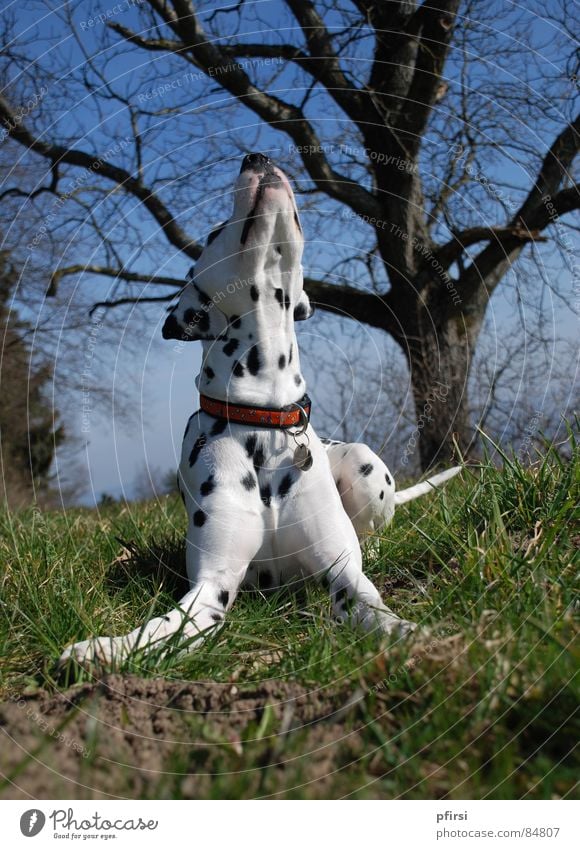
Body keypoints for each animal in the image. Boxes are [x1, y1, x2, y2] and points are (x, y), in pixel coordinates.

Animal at [61, 156, 460, 664]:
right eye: (214, 232)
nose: (257, 157)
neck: (265, 424)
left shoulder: (343, 572)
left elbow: (372, 603)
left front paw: (412, 635)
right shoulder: (211, 588)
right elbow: (164, 627)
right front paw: (107, 649)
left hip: (365, 464)